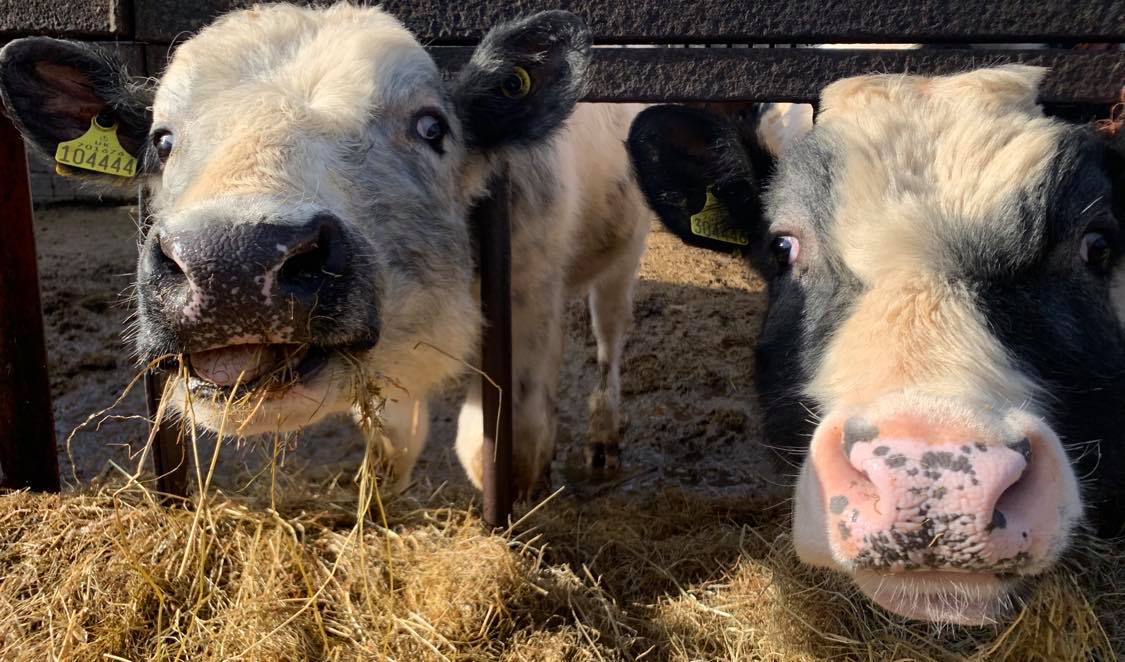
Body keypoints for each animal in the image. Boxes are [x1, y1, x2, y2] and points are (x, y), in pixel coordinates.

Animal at [0, 4, 651, 495]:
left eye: (432, 127)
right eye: (161, 141)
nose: (231, 263)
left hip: (624, 256)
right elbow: (392, 447)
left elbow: (501, 448)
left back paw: (605, 438)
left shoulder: (529, 307)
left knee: (610, 341)